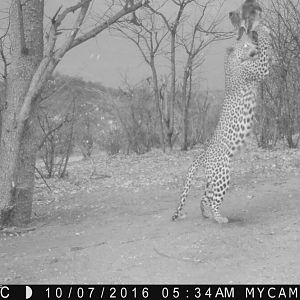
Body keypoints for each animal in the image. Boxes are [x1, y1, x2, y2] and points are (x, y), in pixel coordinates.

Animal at [171, 25, 272, 223]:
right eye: (245, 45)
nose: (252, 47)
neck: (231, 62)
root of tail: (204, 153)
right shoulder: (259, 68)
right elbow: (265, 54)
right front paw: (264, 31)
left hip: (214, 177)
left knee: (205, 197)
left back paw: (207, 215)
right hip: (222, 173)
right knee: (213, 199)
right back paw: (219, 218)